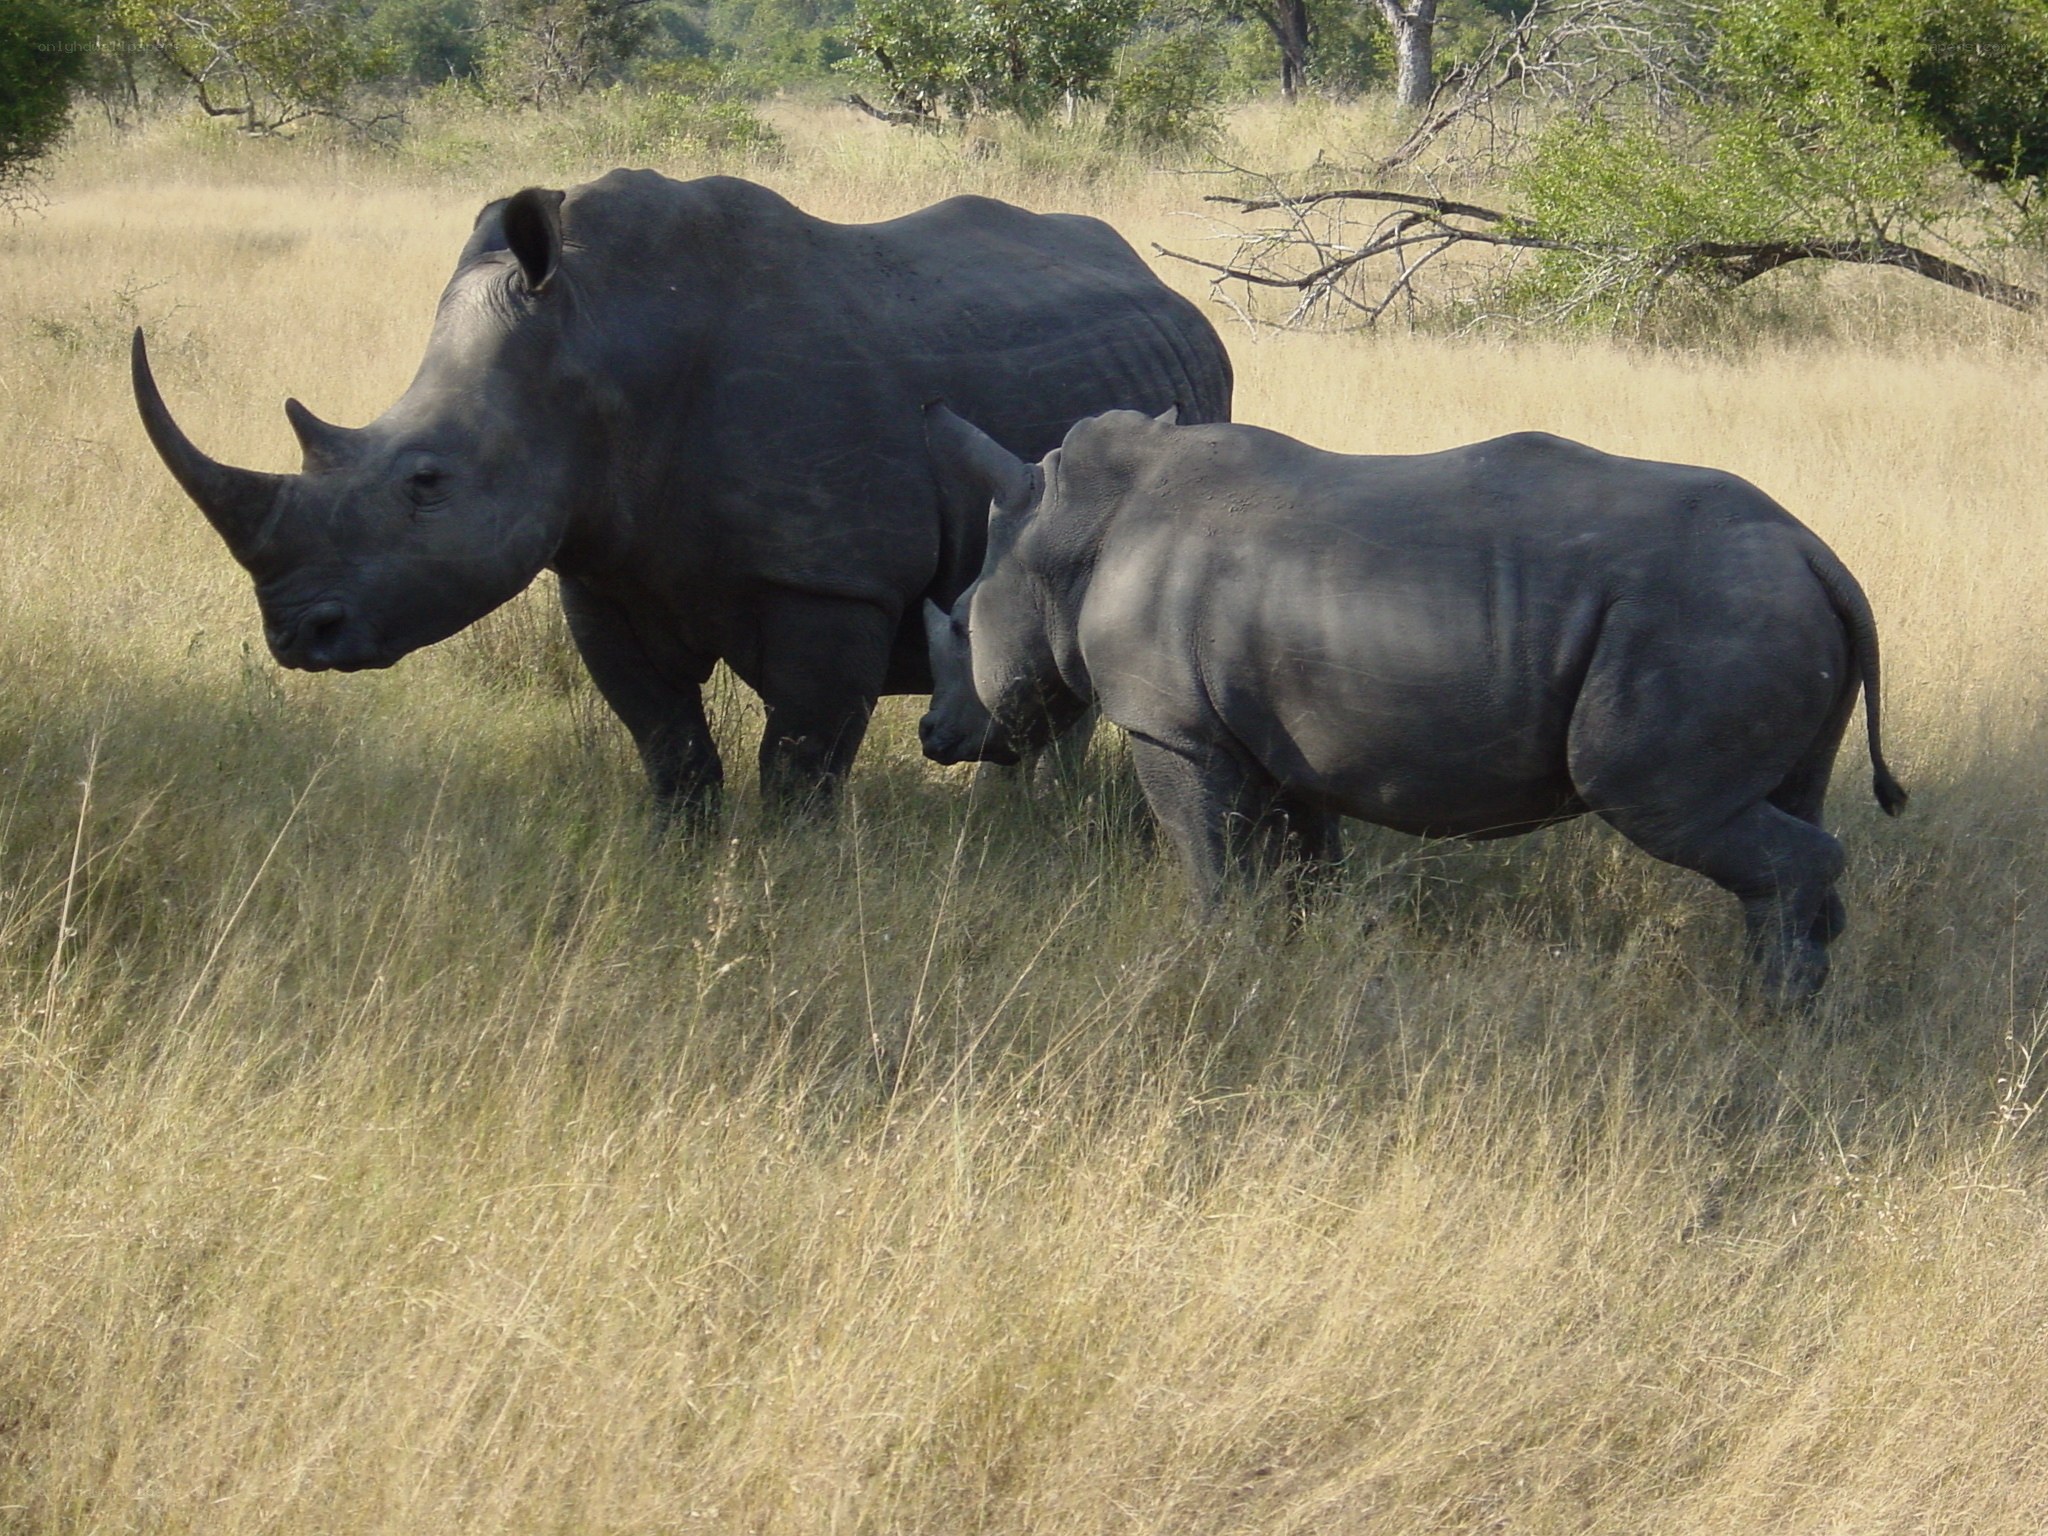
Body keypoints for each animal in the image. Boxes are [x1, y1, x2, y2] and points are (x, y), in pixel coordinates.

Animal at [131, 171, 1231, 812]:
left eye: (426, 483)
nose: (294, 634)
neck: (599, 341)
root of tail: (1169, 293)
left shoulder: (832, 580)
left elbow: (798, 766)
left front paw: (790, 884)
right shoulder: (600, 565)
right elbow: (666, 744)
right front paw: (682, 860)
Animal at [919, 406, 1907, 1000]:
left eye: (962, 623)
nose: (934, 736)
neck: (1069, 532)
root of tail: (1819, 556)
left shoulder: (1174, 729)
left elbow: (1209, 858)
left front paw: (1210, 957)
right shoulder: (1284, 735)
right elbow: (1302, 864)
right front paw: (1301, 954)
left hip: (1705, 621)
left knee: (1666, 802)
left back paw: (1770, 1017)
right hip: (1759, 611)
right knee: (1782, 799)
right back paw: (1797, 1004)